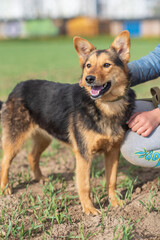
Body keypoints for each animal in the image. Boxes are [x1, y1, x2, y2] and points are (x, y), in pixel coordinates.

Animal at [0, 30, 135, 216]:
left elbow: (112, 180)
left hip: (44, 137)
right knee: (5, 162)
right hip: (15, 138)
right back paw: (5, 188)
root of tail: (16, 88)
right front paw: (89, 209)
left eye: (107, 65)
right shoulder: (83, 154)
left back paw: (41, 179)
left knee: (31, 156)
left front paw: (114, 202)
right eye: (88, 66)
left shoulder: (113, 151)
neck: (106, 106)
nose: (89, 79)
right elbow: (85, 185)